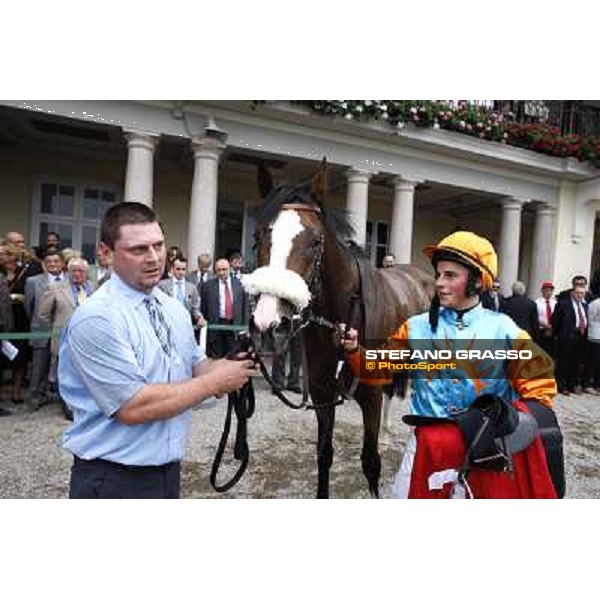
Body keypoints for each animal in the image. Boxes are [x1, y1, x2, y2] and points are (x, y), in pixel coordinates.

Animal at [244, 168, 436, 496]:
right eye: (258, 237)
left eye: (314, 241)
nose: (268, 325)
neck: (340, 319)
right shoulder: (322, 393)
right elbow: (324, 454)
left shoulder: (370, 396)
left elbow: (371, 463)